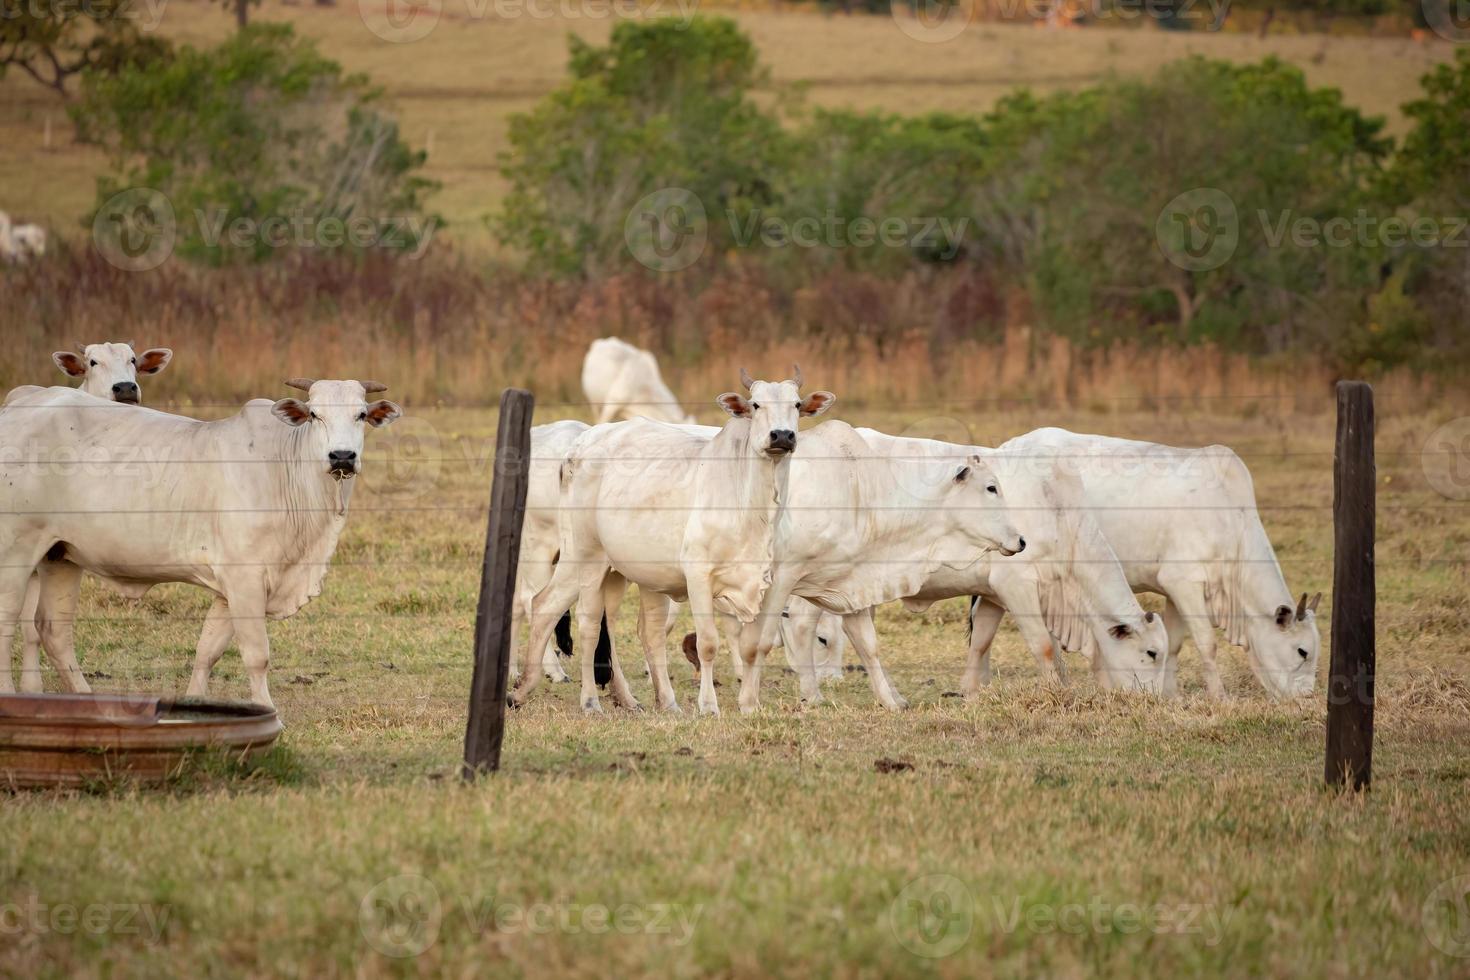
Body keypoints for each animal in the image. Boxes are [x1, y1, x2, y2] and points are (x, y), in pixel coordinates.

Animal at [0, 379, 402, 708]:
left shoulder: (229, 591)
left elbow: (207, 651)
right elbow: (256, 654)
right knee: (8, 623)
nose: (342, 456)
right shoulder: (246, 581)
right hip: (16, 553)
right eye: (315, 415)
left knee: (53, 631)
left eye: (361, 414)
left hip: (60, 557)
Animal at [514, 367, 840, 714]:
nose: (782, 436)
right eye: (755, 404)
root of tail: (578, 447)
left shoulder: (770, 582)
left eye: (796, 404)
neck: (752, 507)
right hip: (582, 555)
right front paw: (708, 706)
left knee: (598, 620)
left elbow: (753, 645)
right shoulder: (698, 575)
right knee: (577, 620)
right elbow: (708, 643)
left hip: (619, 571)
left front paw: (750, 705)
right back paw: (586, 701)